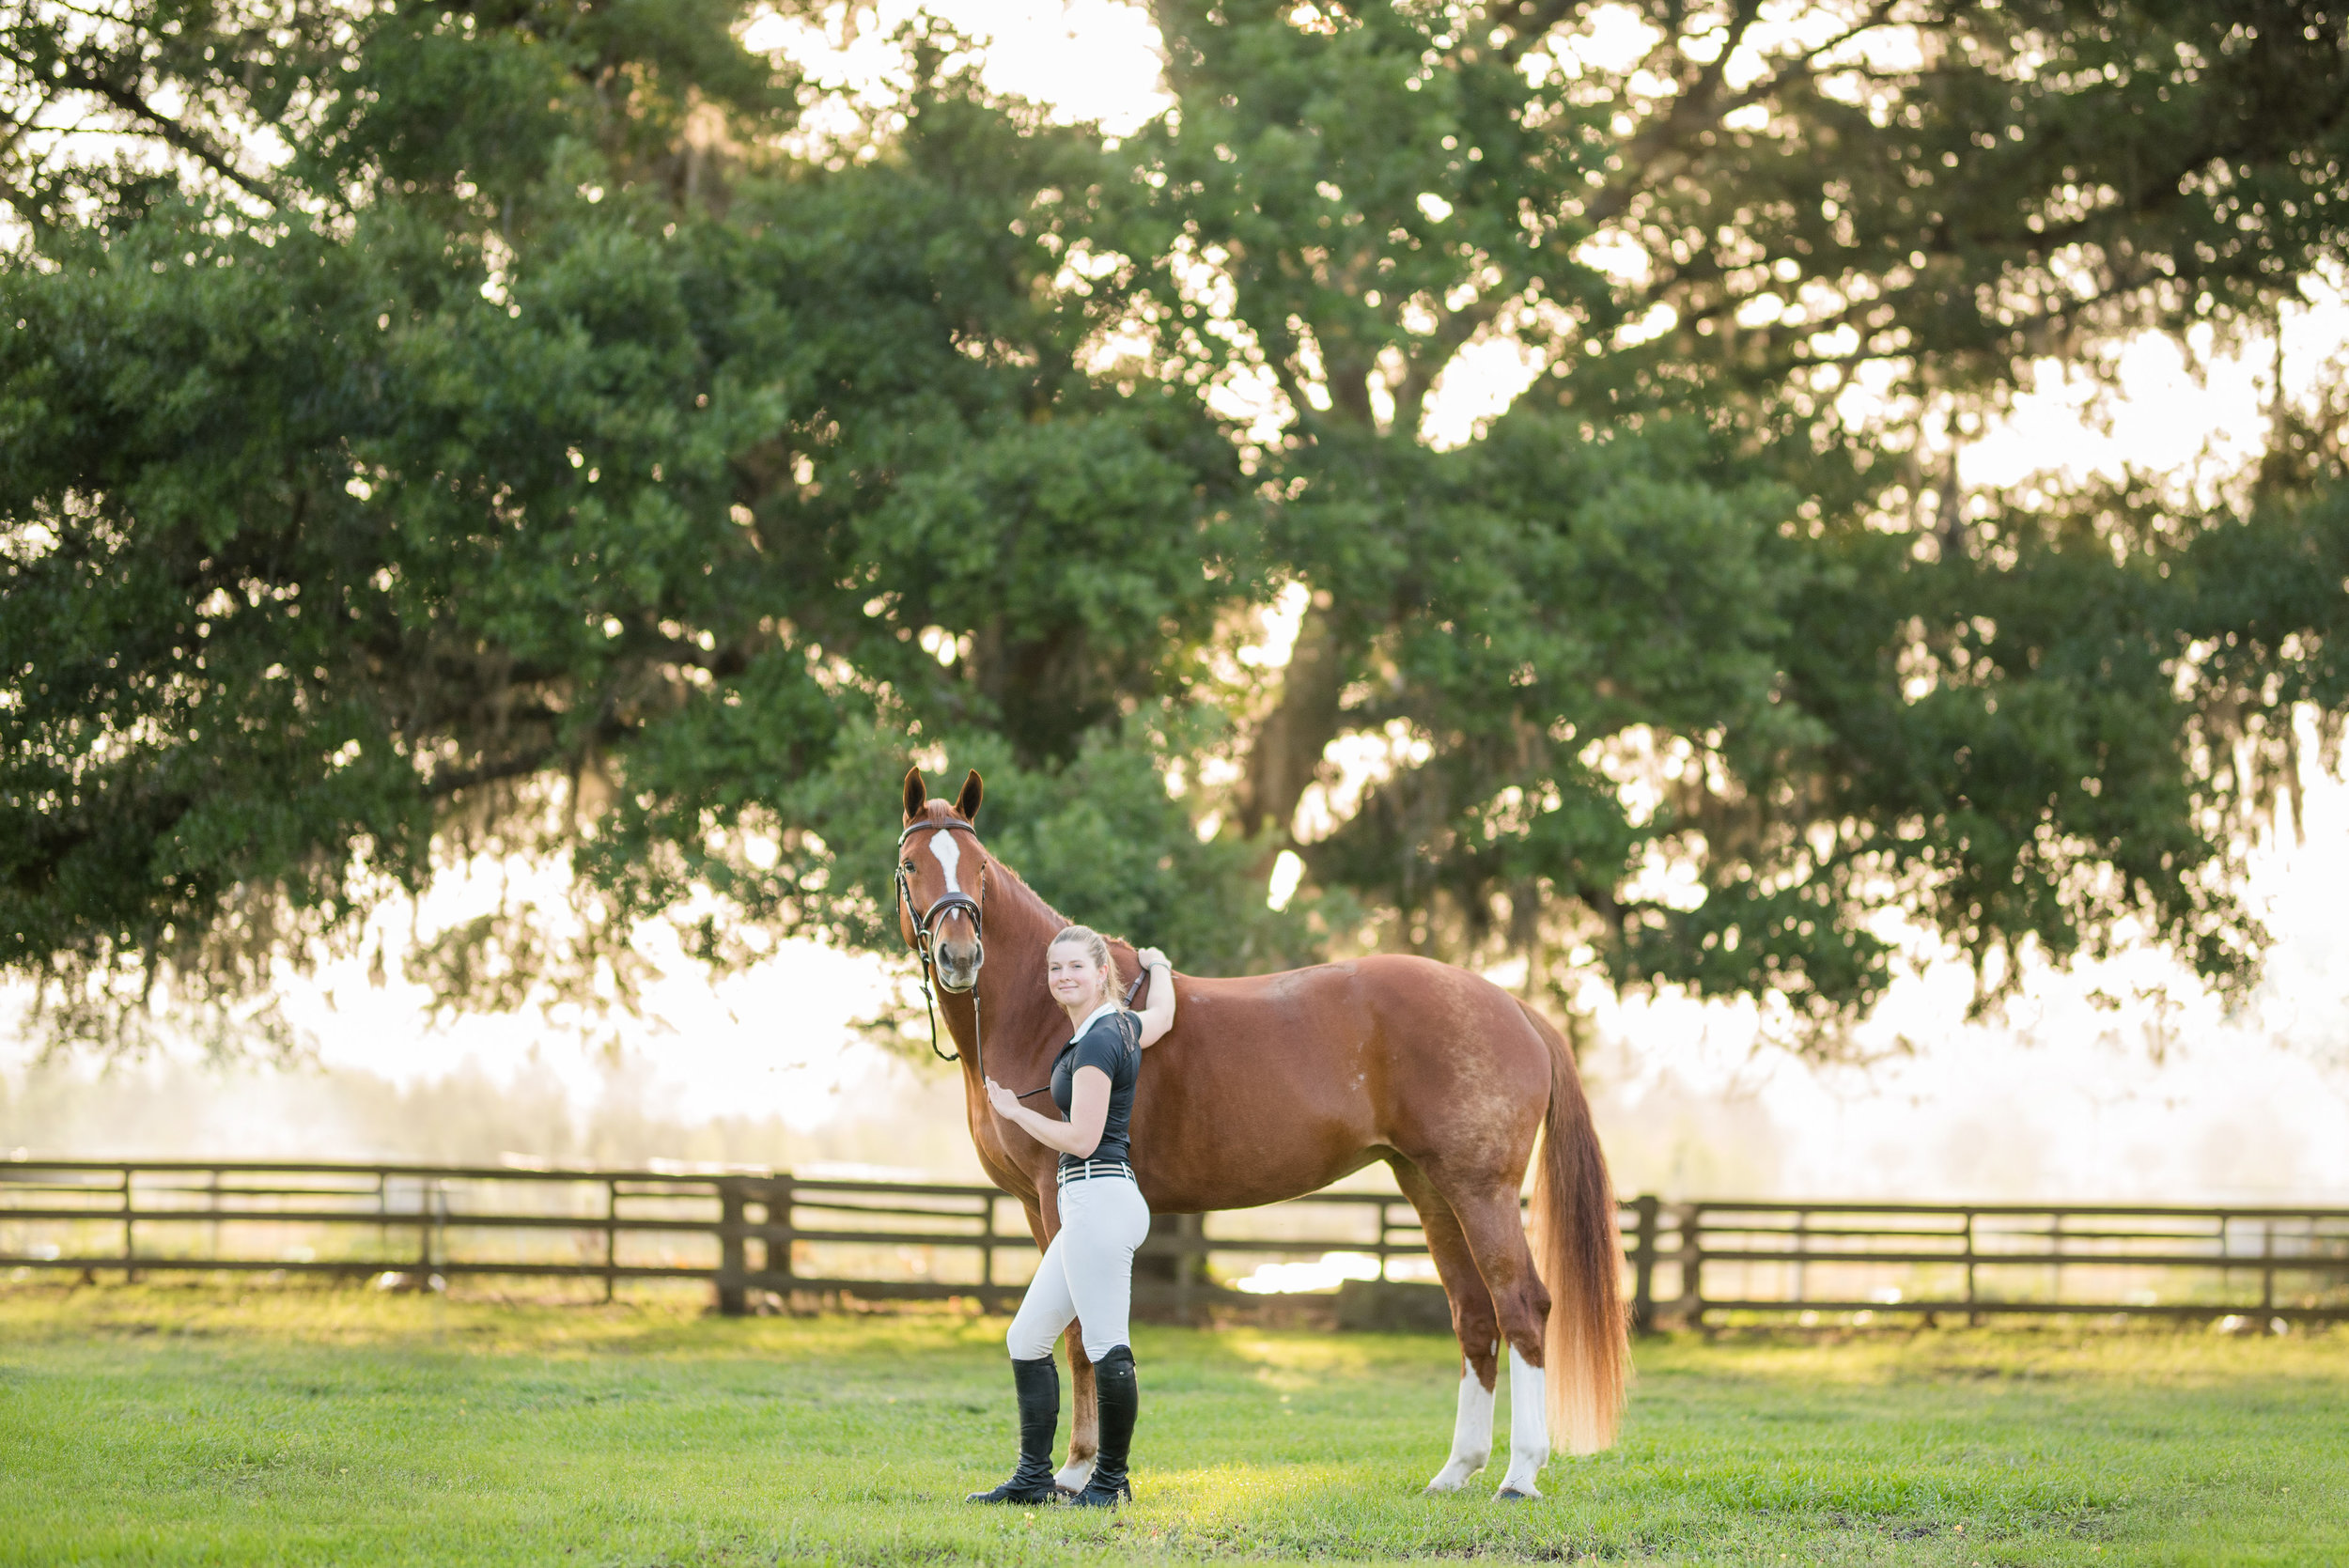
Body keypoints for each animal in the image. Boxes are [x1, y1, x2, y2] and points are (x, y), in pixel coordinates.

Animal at [893, 767, 1628, 1499]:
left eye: (980, 868)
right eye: (911, 865)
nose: (960, 956)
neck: (1042, 1017)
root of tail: (1512, 1006)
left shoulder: (1055, 1196)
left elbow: (1076, 1331)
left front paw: (1075, 1471)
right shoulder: (1030, 1204)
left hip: (1482, 1189)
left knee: (1520, 1305)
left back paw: (1520, 1473)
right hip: (1430, 1186)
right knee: (1474, 1314)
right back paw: (1455, 1470)